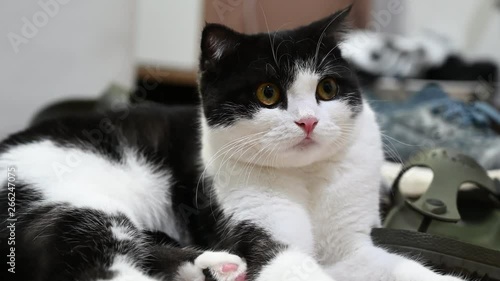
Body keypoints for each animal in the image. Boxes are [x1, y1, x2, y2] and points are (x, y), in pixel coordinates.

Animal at [1, 6, 466, 280]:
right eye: (268, 94)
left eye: (327, 89)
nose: (309, 121)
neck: (307, 179)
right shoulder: (253, 227)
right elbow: (289, 265)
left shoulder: (352, 249)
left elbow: (406, 269)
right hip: (69, 208)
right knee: (104, 264)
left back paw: (218, 267)